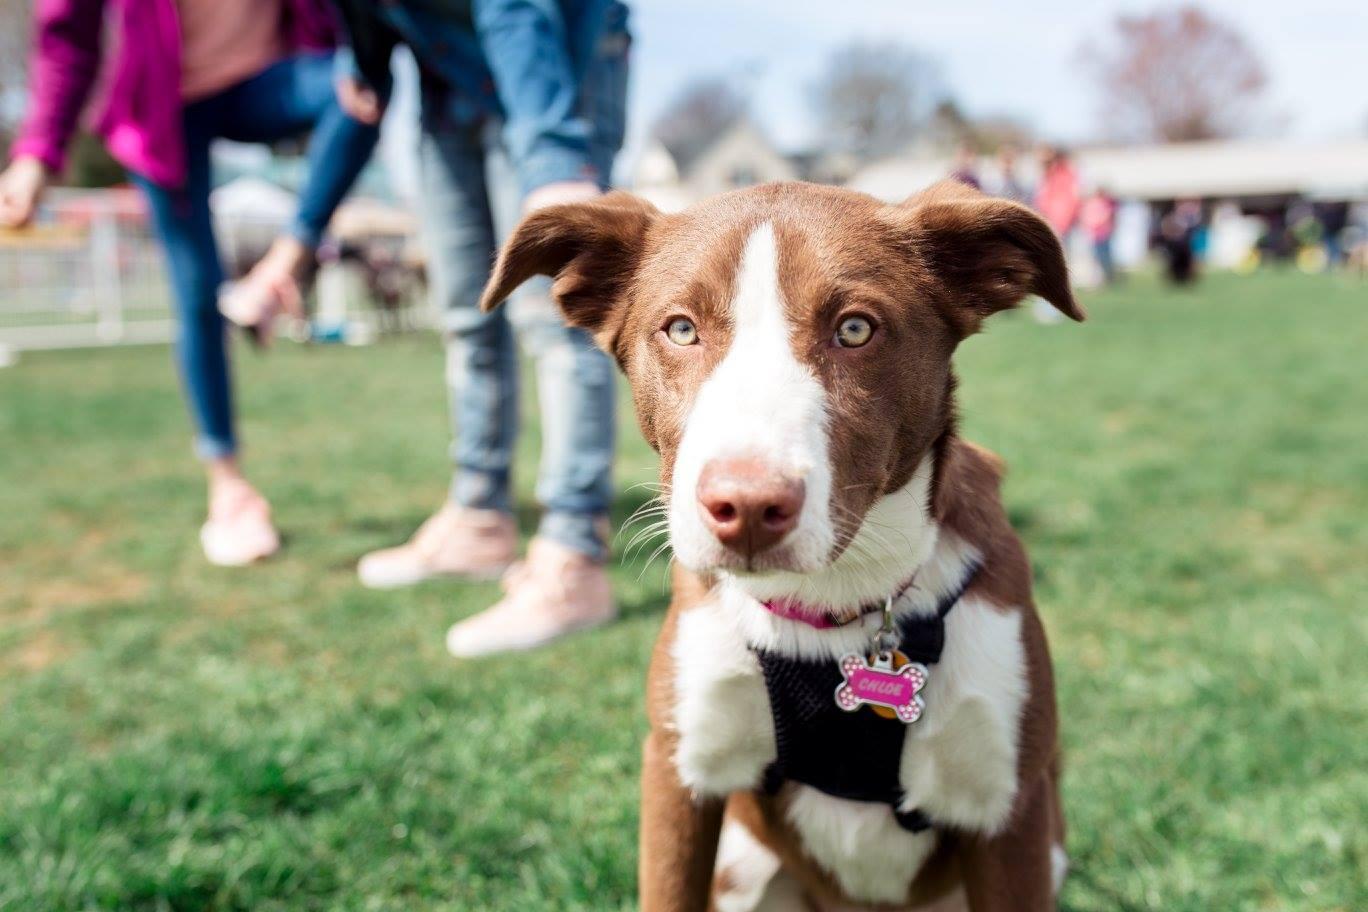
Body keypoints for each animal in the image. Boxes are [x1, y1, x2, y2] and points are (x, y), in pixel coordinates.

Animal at [484, 180, 1088, 912]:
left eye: (855, 329)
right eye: (680, 328)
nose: (746, 508)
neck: (830, 605)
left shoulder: (1008, 812)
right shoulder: (679, 776)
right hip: (744, 868)